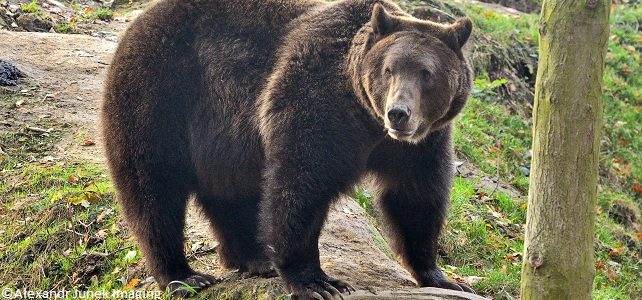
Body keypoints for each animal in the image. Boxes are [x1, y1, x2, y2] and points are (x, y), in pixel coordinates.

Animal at [100, 0, 470, 298]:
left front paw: (442, 277)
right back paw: (184, 276)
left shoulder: (422, 143)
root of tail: (139, 22)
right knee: (154, 190)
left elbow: (415, 198)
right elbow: (301, 183)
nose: (398, 113)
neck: (367, 118)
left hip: (219, 140)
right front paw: (316, 281)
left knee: (231, 194)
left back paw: (254, 257)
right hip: (159, 96)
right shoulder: (316, 102)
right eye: (388, 69)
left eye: (426, 73)